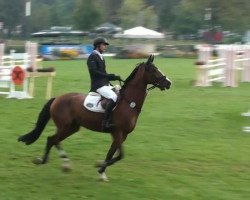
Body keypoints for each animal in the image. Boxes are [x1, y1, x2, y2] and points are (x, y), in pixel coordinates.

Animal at [18, 54, 172, 181]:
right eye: (153, 70)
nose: (168, 83)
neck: (129, 102)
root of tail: (57, 98)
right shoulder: (117, 132)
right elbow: (120, 155)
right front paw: (99, 165)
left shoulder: (122, 135)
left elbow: (112, 153)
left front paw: (101, 173)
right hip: (65, 126)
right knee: (52, 139)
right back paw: (47, 161)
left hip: (72, 128)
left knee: (54, 140)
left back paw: (62, 164)